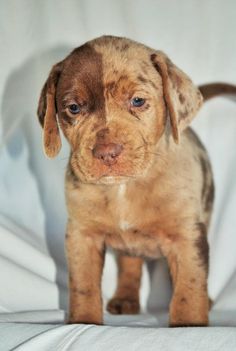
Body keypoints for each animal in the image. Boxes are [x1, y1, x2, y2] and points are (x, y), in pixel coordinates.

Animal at [37, 35, 236, 328]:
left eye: (138, 101)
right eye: (73, 108)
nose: (106, 151)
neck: (123, 187)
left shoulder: (188, 235)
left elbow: (189, 287)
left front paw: (189, 325)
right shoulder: (82, 235)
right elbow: (83, 286)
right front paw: (83, 323)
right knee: (130, 264)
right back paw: (125, 298)